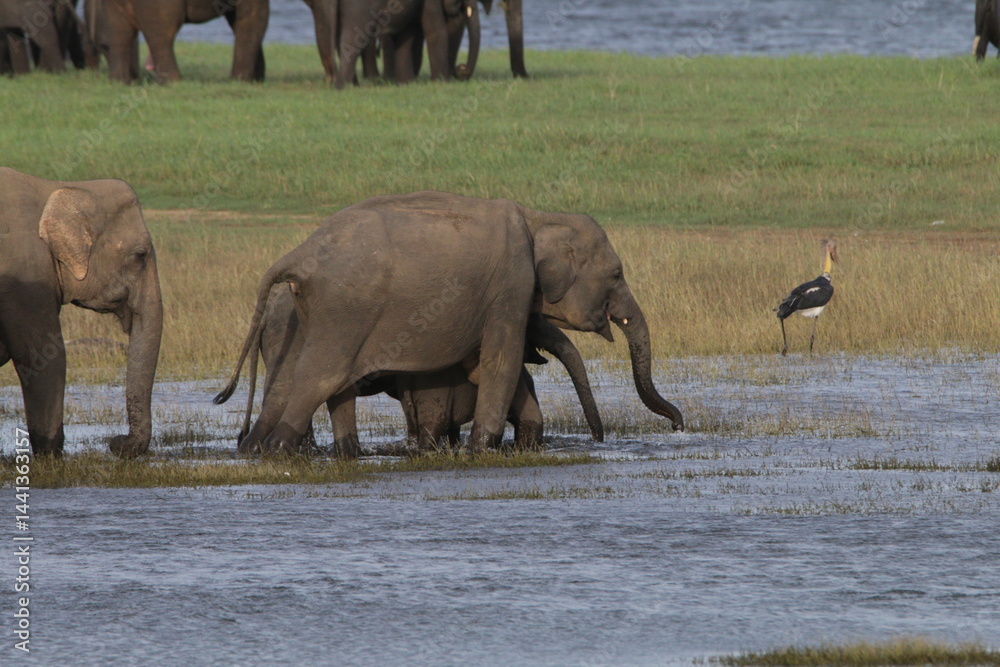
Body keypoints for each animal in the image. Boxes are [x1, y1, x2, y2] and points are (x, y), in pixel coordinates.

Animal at [83, 0, 268, 83]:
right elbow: (253, 17)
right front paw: (242, 81)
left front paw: (255, 80)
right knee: (162, 31)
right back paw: (173, 82)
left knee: (116, 37)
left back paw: (122, 82)